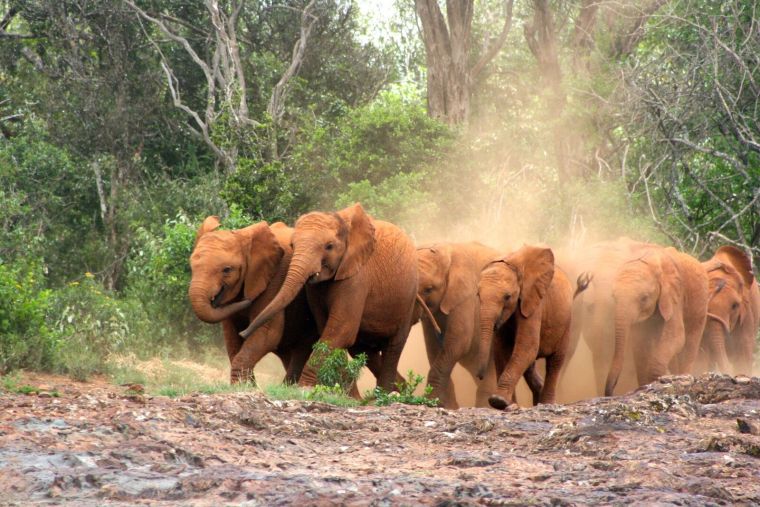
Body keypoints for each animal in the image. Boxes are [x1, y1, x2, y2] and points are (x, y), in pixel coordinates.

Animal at [188, 217, 318, 384]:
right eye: (191, 266)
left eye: (227, 270)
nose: (247, 300)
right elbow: (231, 337)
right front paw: (246, 385)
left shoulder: (275, 277)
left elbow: (267, 333)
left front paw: (244, 386)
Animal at [239, 203, 419, 391]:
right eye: (292, 245)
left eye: (329, 246)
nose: (242, 333)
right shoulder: (314, 289)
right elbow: (328, 329)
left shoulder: (358, 276)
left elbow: (341, 330)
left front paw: (305, 388)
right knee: (363, 350)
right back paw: (401, 388)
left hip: (408, 299)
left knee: (393, 347)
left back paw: (385, 393)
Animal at [415, 242, 502, 409]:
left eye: (429, 289)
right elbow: (433, 348)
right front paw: (446, 405)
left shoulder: (467, 296)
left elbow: (458, 343)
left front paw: (433, 401)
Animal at [476, 244, 575, 409]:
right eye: (477, 295)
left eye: (507, 297)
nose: (480, 376)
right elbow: (501, 350)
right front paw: (507, 404)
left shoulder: (533, 302)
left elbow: (527, 346)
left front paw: (498, 401)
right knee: (530, 364)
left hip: (566, 322)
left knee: (555, 362)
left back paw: (545, 403)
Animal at [604, 246, 709, 396]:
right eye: (614, 297)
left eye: (644, 298)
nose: (611, 392)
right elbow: (641, 344)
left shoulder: (674, 296)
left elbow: (676, 337)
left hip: (700, 307)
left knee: (689, 345)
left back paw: (683, 378)